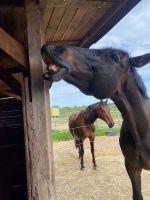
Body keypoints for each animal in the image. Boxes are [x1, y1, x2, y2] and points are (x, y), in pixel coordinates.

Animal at [41, 44, 150, 200]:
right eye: (102, 110)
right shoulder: (132, 167)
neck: (143, 131)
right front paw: (83, 165)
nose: (52, 48)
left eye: (114, 57)